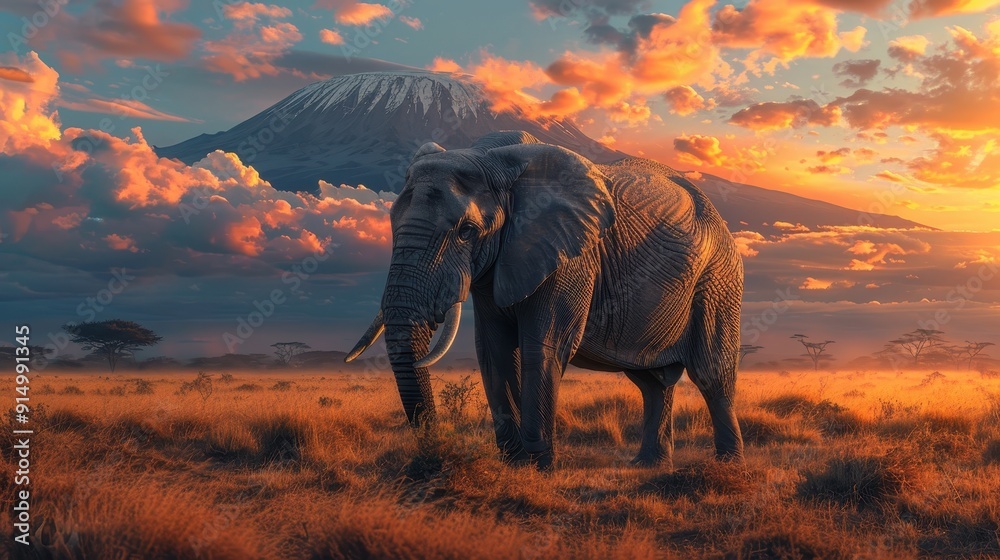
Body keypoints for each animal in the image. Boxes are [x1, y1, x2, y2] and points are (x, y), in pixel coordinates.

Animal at [346, 131, 744, 470]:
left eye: (466, 231)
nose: (436, 453)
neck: (491, 159)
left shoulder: (570, 256)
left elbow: (544, 344)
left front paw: (539, 467)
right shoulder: (496, 264)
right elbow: (493, 349)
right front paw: (514, 464)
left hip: (718, 277)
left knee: (711, 373)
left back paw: (728, 466)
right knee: (651, 381)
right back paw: (648, 465)